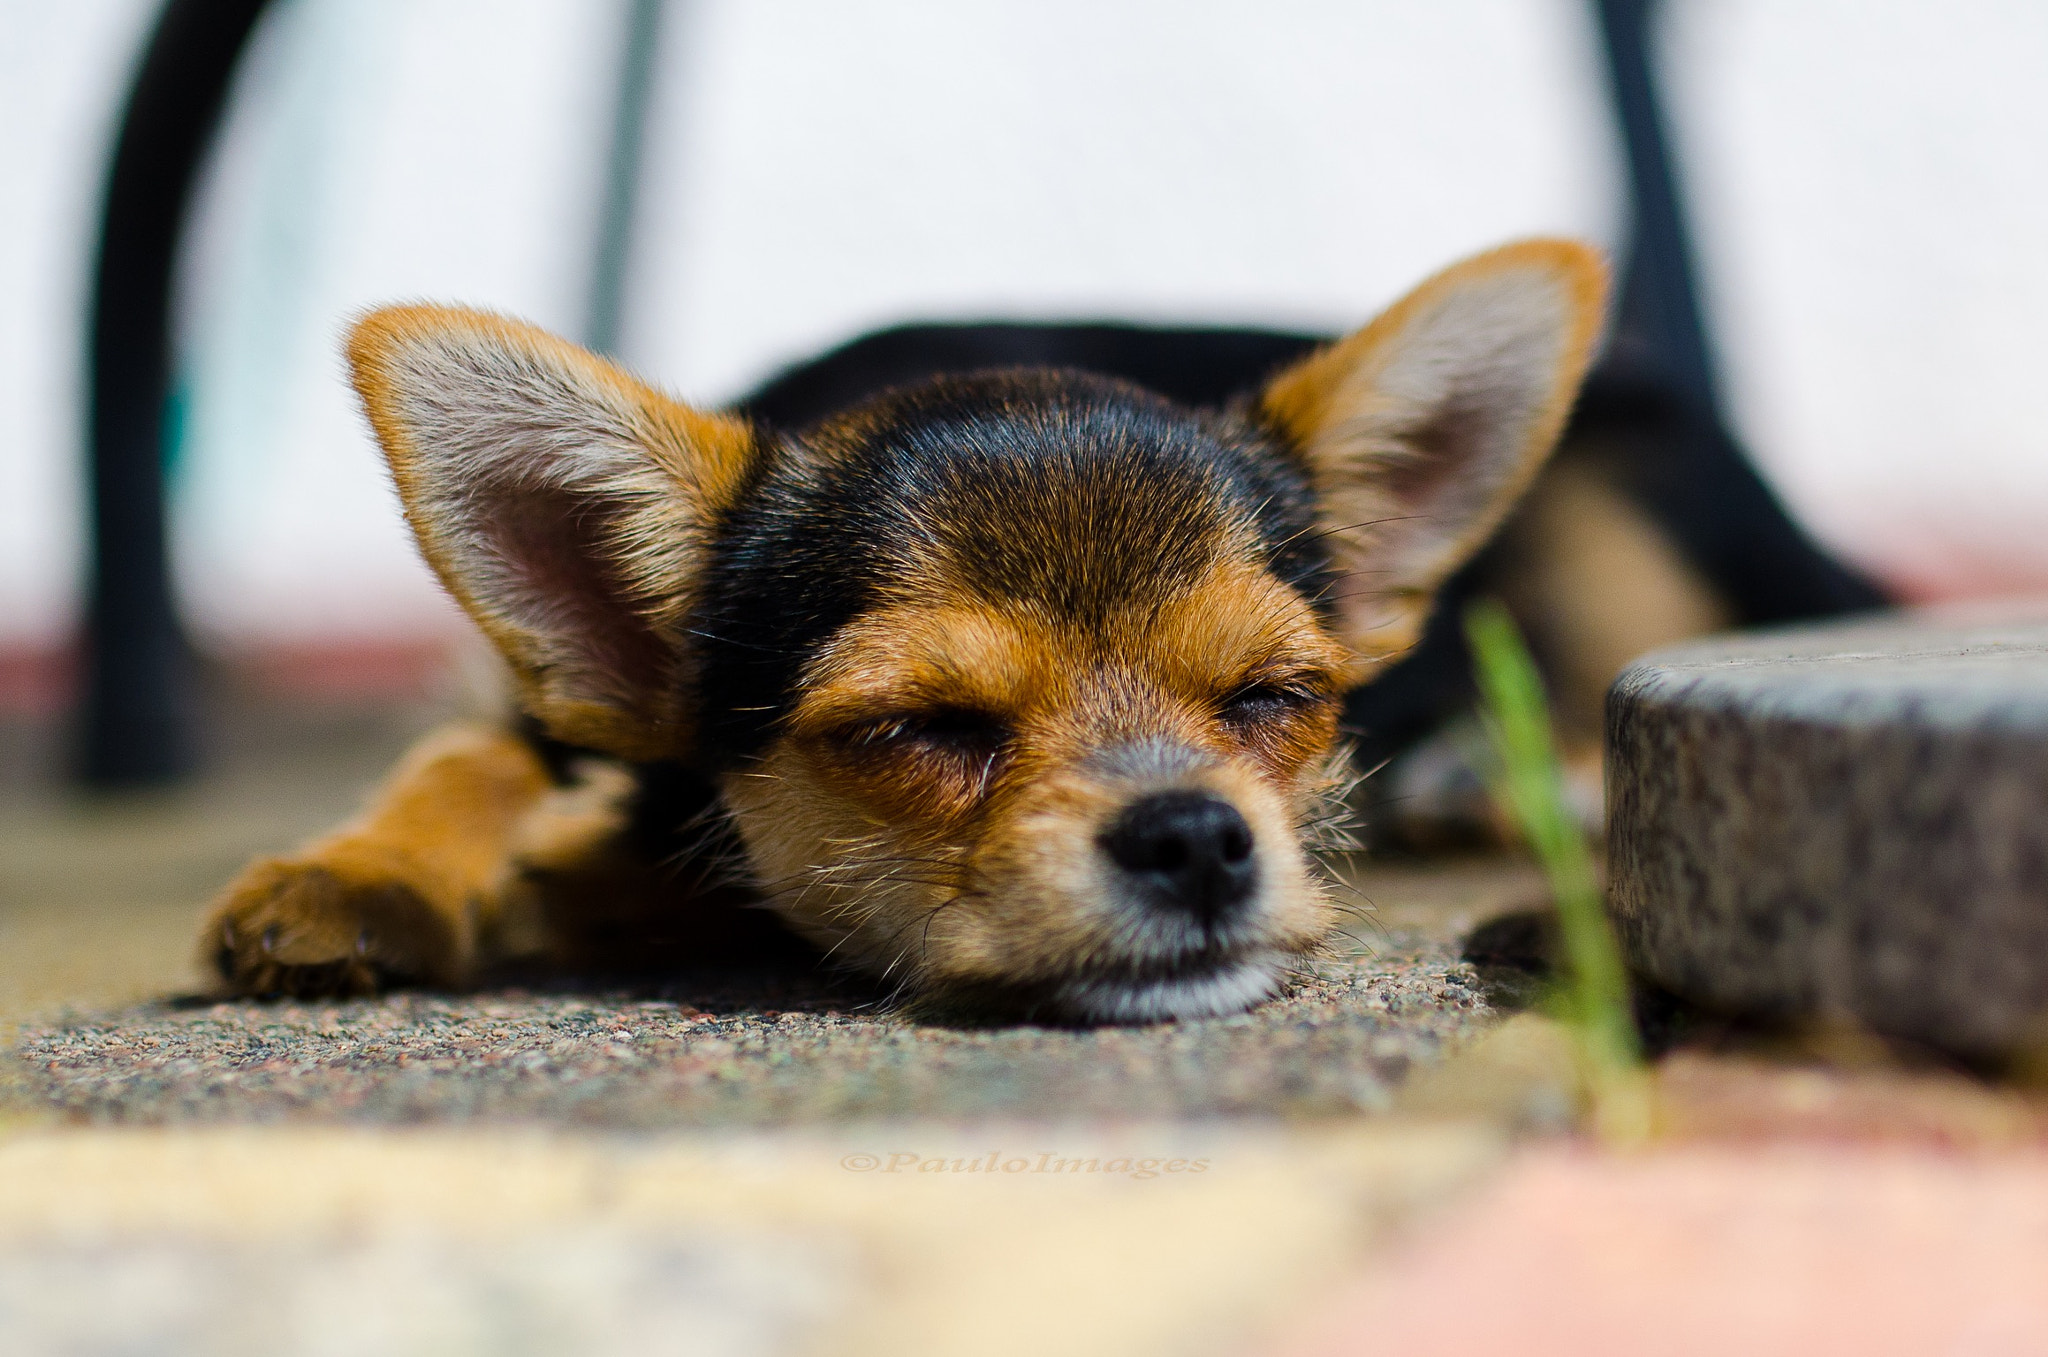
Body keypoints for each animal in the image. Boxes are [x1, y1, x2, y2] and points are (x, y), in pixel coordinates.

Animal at [211, 241, 1613, 1019]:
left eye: (1272, 697)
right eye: (919, 727)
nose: (1192, 836)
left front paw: (590, 872)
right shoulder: (537, 706)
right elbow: (472, 750)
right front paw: (369, 871)